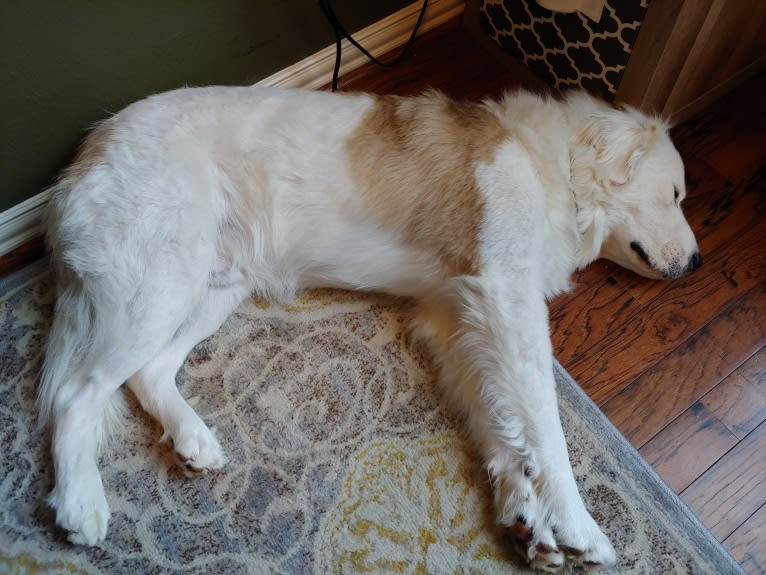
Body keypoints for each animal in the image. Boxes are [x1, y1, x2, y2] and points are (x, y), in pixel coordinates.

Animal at [40, 85, 704, 572]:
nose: (700, 263)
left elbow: (499, 423)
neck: (555, 167)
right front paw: (575, 523)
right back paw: (80, 502)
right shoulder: (505, 297)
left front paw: (524, 515)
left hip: (212, 288)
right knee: (77, 394)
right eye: (674, 194)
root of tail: (92, 146)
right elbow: (544, 425)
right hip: (163, 284)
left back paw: (192, 439)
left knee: (146, 374)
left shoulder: (458, 320)